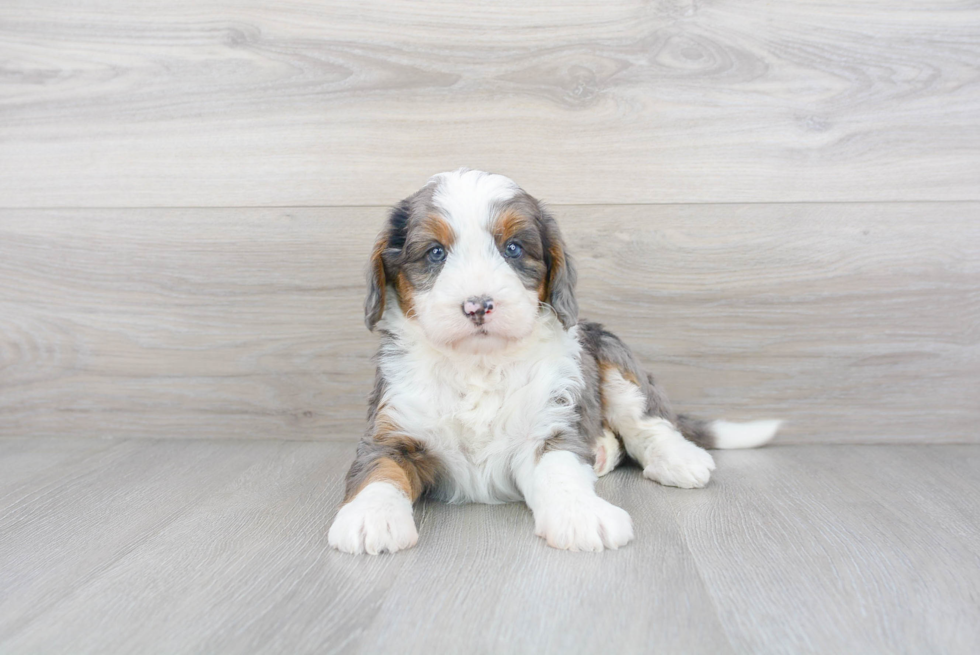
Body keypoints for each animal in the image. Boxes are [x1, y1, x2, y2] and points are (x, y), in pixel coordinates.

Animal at [330, 169, 780, 552]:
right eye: (436, 253)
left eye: (513, 248)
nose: (478, 305)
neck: (478, 365)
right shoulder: (391, 429)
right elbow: (378, 471)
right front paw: (370, 517)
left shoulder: (549, 425)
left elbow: (562, 468)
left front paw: (583, 515)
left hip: (610, 353)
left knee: (647, 421)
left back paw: (678, 459)